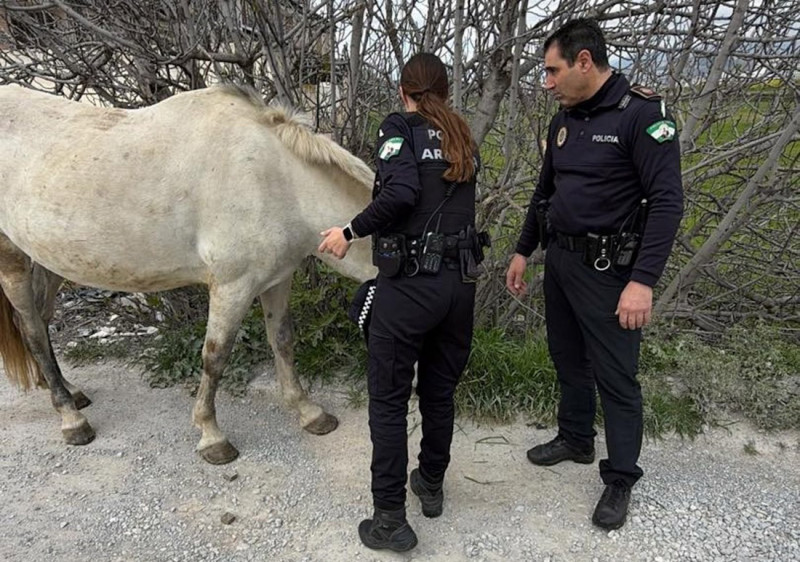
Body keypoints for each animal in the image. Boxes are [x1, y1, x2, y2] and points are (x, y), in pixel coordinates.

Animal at [0, 84, 376, 464]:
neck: (277, 180)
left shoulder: (277, 280)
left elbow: (282, 341)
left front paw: (309, 412)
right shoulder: (232, 286)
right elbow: (215, 356)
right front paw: (212, 436)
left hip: (48, 257)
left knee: (42, 317)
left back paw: (66, 389)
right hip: (11, 257)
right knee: (31, 328)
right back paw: (71, 419)